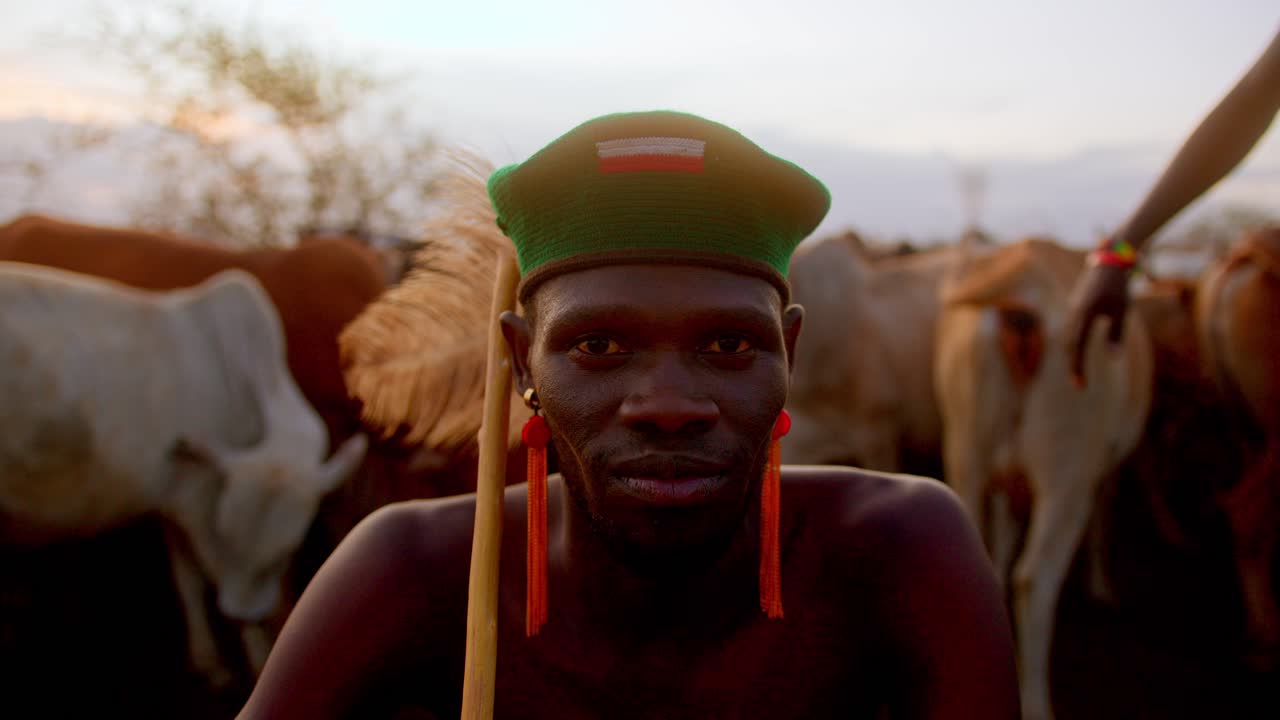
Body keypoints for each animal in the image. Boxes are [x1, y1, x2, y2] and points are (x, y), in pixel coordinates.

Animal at [0, 262, 367, 686]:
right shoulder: (197, 500)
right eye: (226, 534)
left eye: (287, 550)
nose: (242, 611)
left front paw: (209, 658)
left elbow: (186, 579)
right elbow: (207, 573)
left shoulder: (174, 498)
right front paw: (256, 659)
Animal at [934, 237, 1154, 720]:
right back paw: (1036, 703)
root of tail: (1022, 284)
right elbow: (1103, 514)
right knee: (1034, 580)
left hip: (966, 447)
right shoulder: (1098, 470)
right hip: (1066, 469)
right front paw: (1102, 587)